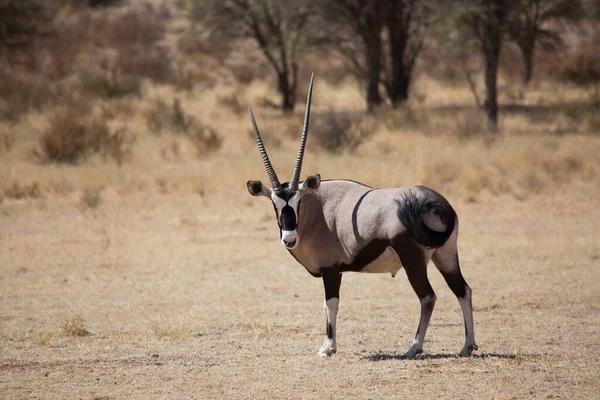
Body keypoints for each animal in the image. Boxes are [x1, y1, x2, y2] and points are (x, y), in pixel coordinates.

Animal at [245, 75, 478, 360]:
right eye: (275, 204)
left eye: (297, 202)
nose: (289, 238)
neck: (318, 210)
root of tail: (436, 204)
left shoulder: (331, 270)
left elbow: (330, 304)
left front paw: (328, 348)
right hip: (445, 255)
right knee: (462, 290)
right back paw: (467, 346)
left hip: (413, 260)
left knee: (428, 297)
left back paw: (413, 347)